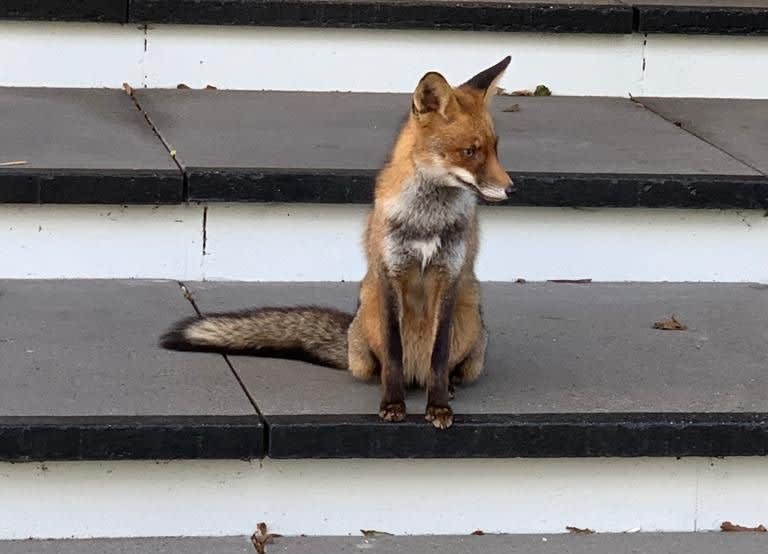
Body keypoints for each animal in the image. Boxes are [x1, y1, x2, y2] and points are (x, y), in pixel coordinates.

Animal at [166, 56, 520, 426]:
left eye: (495, 149)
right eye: (470, 151)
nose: (512, 189)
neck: (426, 221)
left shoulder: (448, 277)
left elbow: (438, 360)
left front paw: (438, 407)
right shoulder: (389, 274)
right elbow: (393, 356)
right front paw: (392, 403)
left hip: (470, 319)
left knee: (443, 369)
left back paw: (446, 386)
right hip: (369, 318)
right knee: (381, 367)